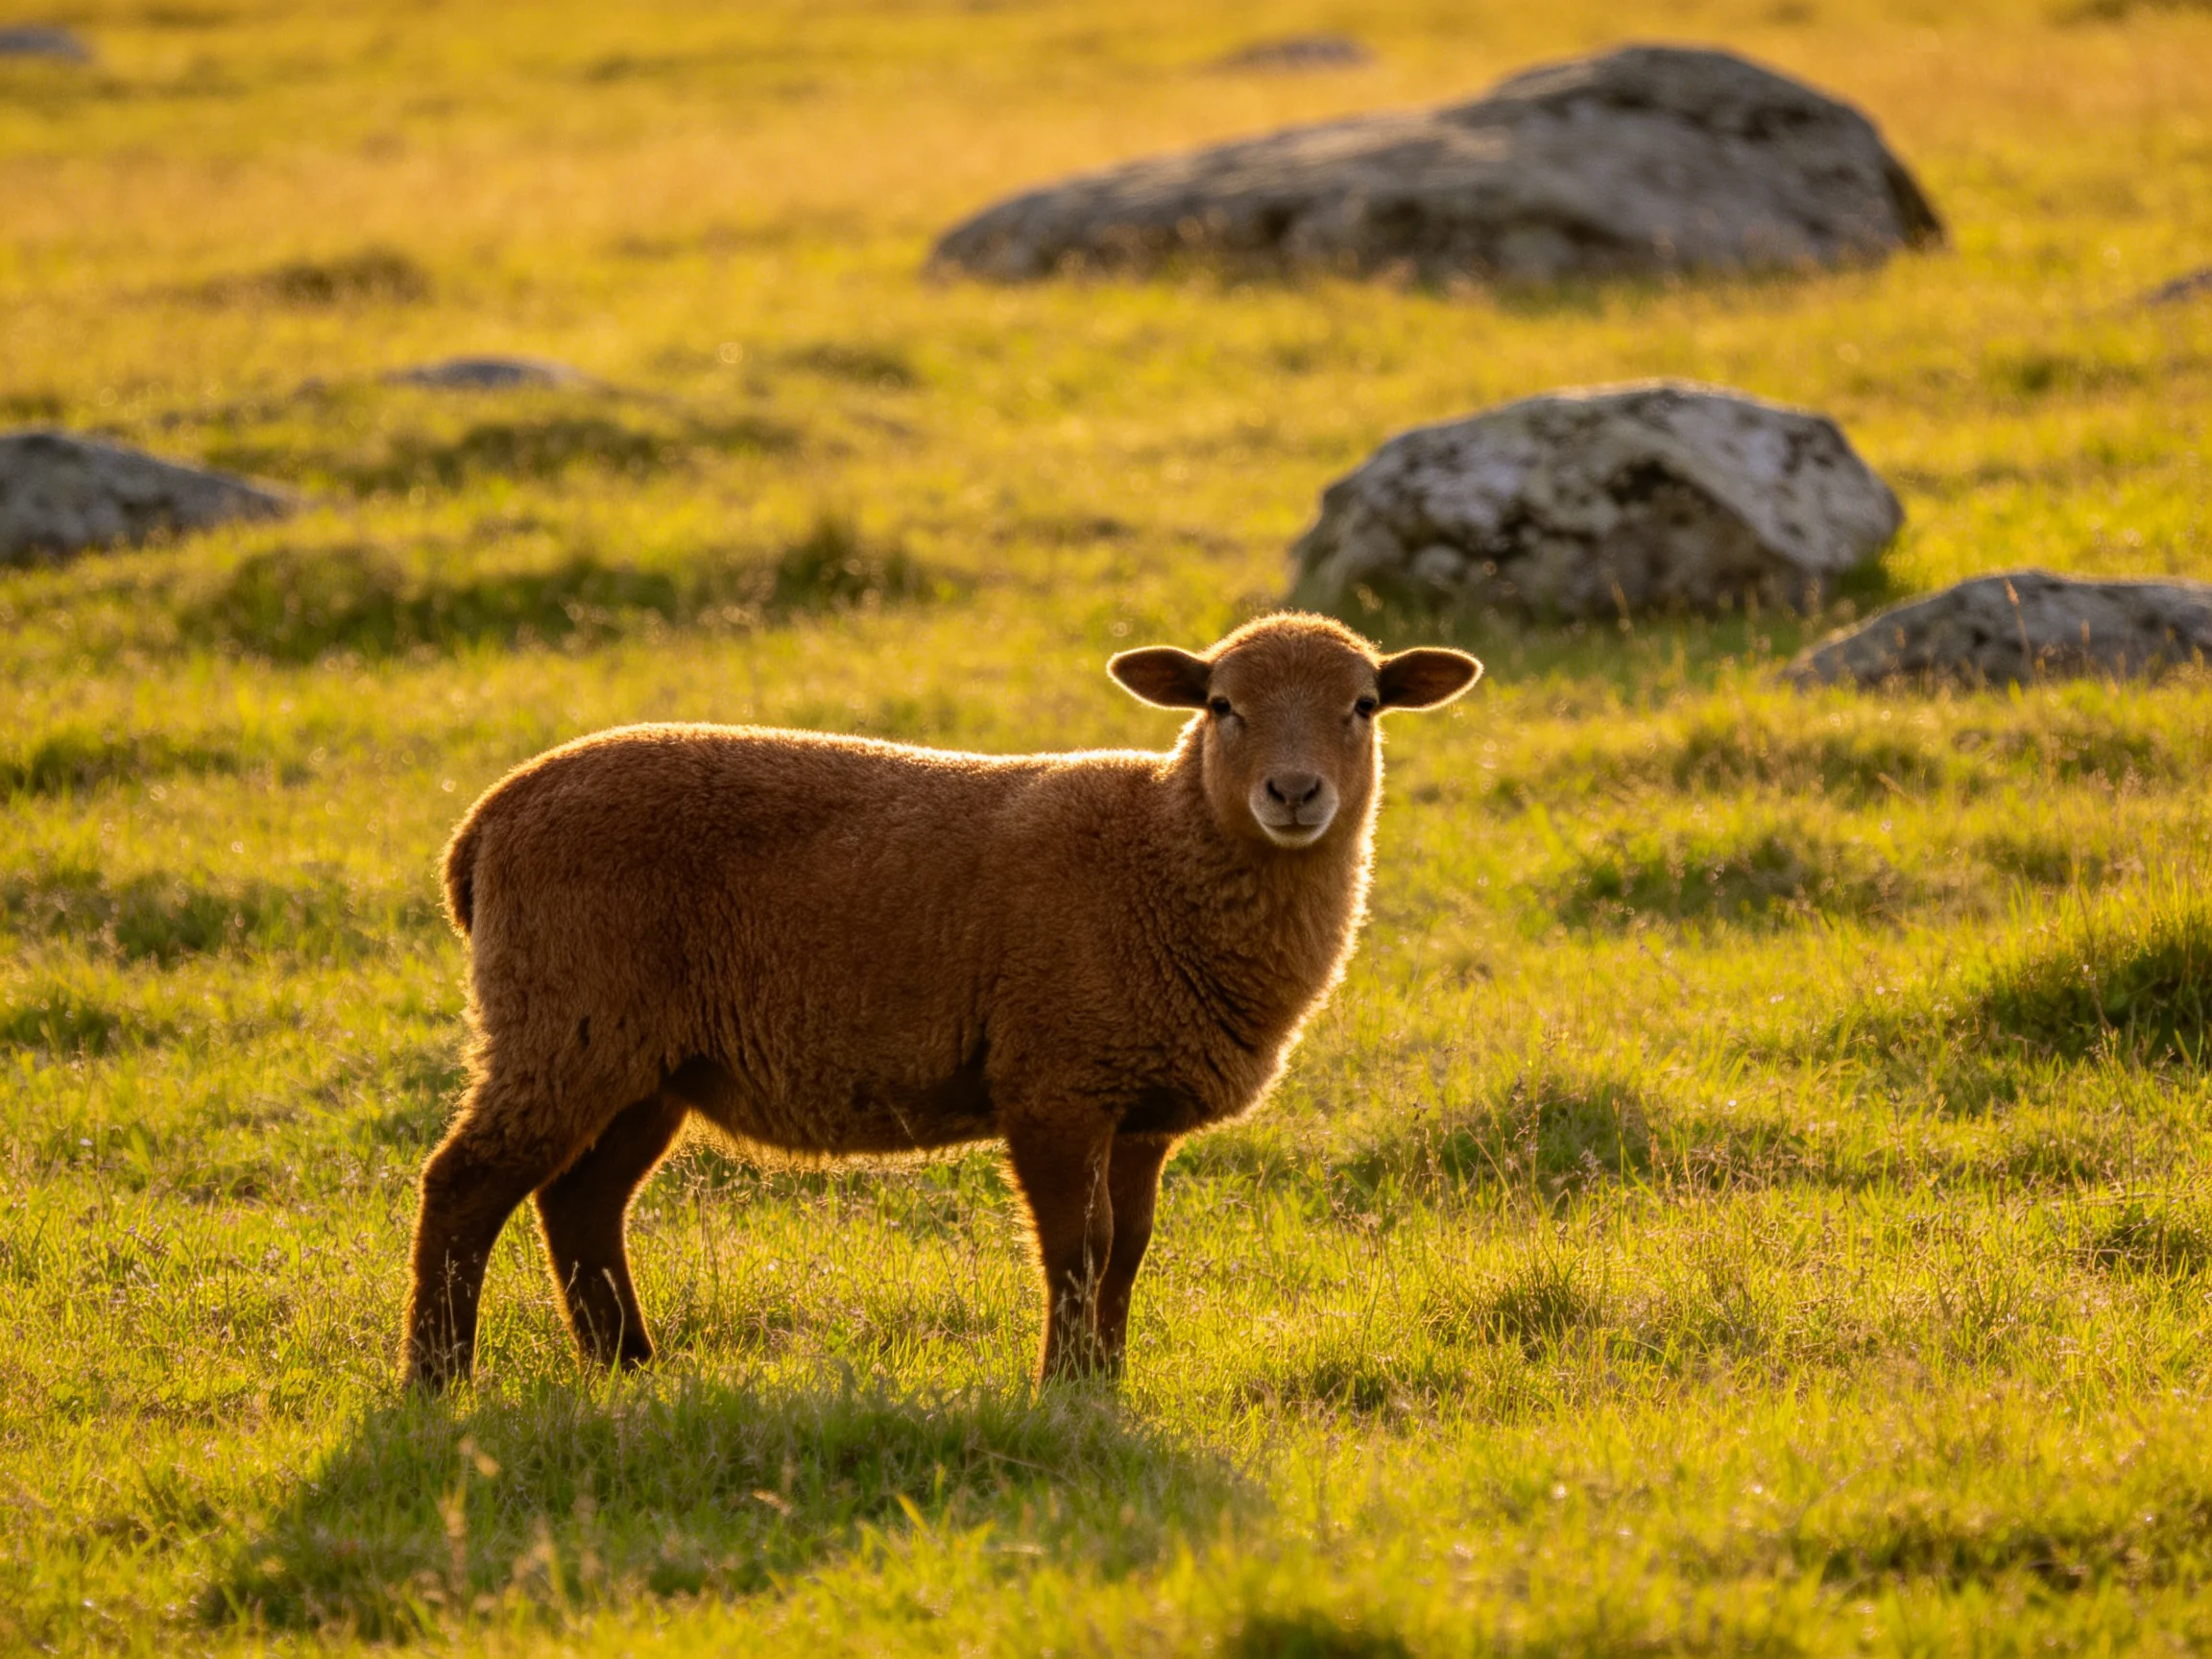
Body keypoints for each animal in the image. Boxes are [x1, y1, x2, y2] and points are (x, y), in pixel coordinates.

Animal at [404, 612, 1480, 1389]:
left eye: (1366, 703)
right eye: (1221, 704)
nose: (1293, 794)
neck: (1159, 850)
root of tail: (482, 827)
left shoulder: (1139, 1105)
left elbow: (1129, 1250)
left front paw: (1107, 1379)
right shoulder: (1053, 1080)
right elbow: (1079, 1246)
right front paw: (1065, 1390)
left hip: (645, 1061)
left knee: (580, 1202)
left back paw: (628, 1370)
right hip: (564, 1019)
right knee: (465, 1184)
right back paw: (437, 1382)